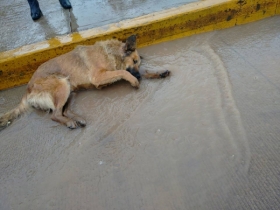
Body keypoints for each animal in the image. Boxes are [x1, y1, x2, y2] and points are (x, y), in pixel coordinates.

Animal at [0, 34, 170, 130]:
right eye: (134, 61)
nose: (139, 77)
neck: (110, 53)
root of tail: (28, 89)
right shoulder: (99, 76)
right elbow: (123, 72)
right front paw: (134, 80)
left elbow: (135, 71)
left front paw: (157, 72)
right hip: (62, 84)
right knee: (55, 114)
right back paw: (70, 122)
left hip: (71, 89)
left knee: (64, 111)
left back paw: (78, 119)